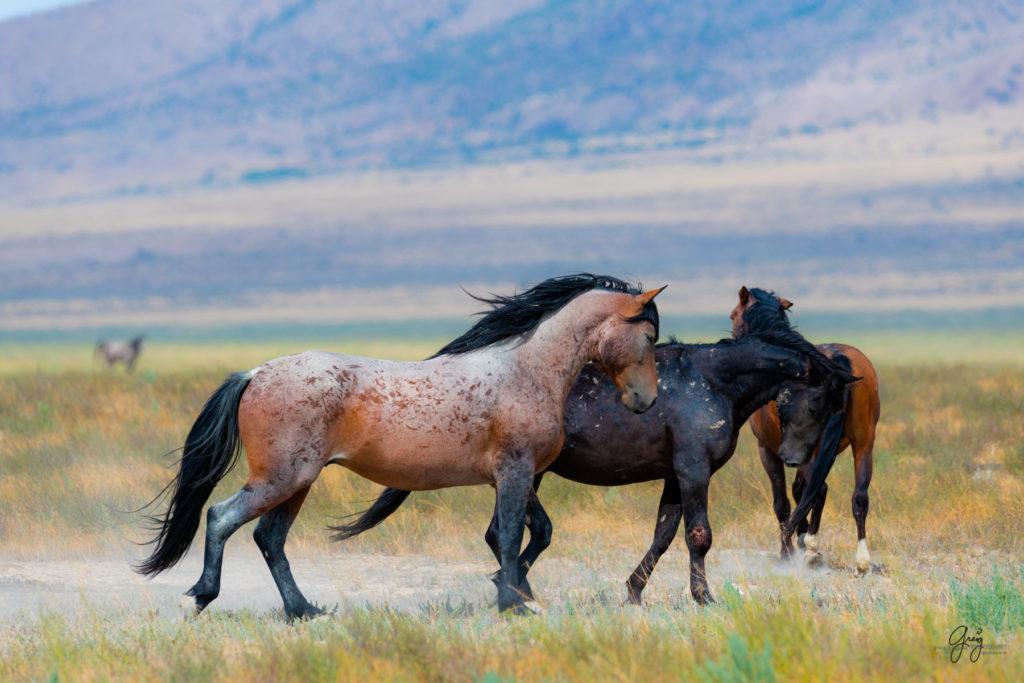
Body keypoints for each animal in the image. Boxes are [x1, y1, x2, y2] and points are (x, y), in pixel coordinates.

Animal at [136, 274, 663, 618]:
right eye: (649, 334)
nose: (647, 400)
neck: (526, 371)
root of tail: (257, 372)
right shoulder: (516, 471)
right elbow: (512, 535)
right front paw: (512, 602)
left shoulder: (519, 475)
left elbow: (532, 533)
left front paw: (513, 592)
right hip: (281, 478)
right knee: (222, 517)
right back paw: (203, 595)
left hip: (297, 483)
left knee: (270, 539)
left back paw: (304, 610)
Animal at [337, 329, 856, 602]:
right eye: (817, 403)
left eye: (832, 405)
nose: (796, 460)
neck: (712, 380)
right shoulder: (694, 469)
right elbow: (699, 535)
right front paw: (704, 598)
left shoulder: (675, 474)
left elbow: (664, 534)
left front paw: (634, 591)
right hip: (527, 474)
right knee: (512, 531)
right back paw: (518, 589)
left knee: (503, 533)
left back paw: (518, 588)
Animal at [733, 286, 884, 573]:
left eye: (733, 315)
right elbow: (803, 491)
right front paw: (801, 539)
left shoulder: (769, 450)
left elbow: (784, 502)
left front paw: (790, 550)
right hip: (863, 443)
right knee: (859, 497)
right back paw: (861, 560)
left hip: (810, 449)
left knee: (816, 488)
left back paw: (811, 547)